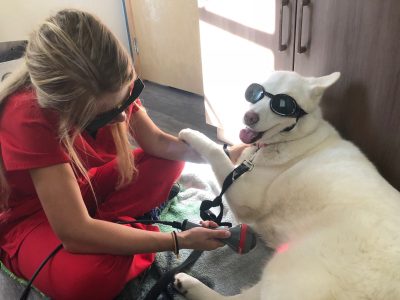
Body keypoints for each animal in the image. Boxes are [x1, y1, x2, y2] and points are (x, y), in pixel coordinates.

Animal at [174, 72, 400, 300]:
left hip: (289, 268)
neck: (294, 139)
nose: (249, 117)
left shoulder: (243, 196)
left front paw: (192, 135)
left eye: (283, 105)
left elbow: (215, 151)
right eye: (255, 92)